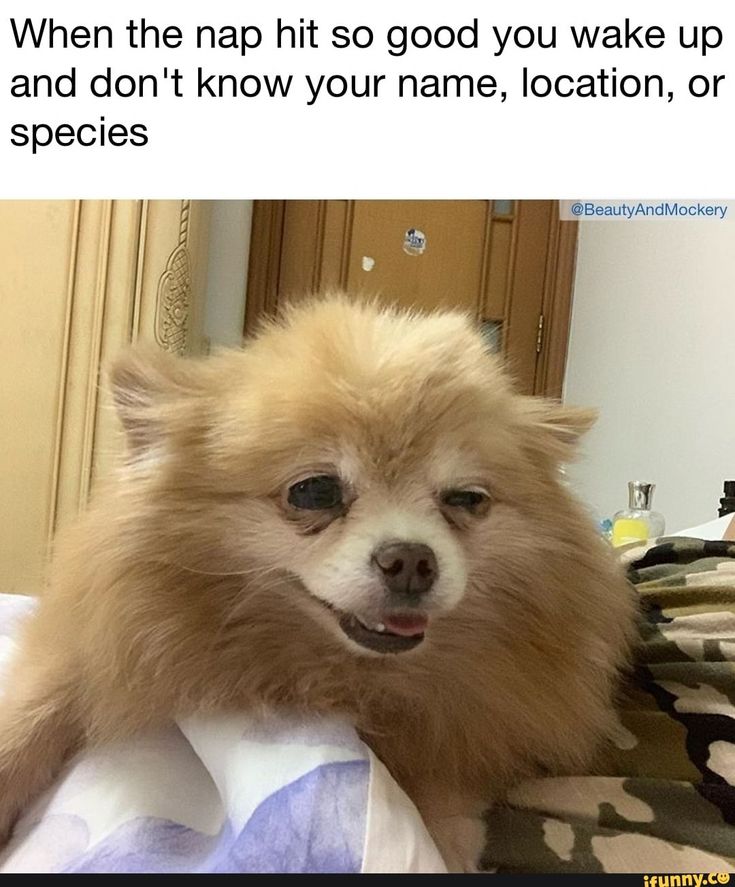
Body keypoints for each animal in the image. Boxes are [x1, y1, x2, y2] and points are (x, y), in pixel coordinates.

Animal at [0, 300, 632, 876]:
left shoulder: (464, 727)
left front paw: (440, 845)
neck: (331, 675)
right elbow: (34, 708)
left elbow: (442, 799)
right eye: (314, 492)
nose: (411, 560)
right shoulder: (93, 643)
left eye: (466, 499)